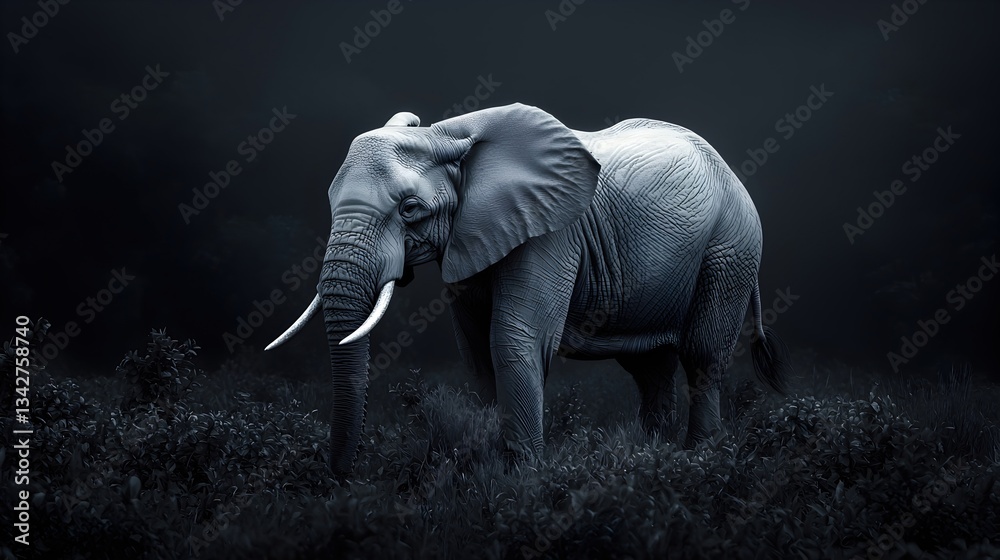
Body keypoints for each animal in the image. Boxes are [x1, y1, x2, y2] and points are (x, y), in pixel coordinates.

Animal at [266, 103, 792, 476]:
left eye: (410, 209)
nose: (340, 478)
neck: (447, 135)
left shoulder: (552, 232)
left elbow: (513, 339)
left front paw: (522, 479)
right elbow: (476, 349)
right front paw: (480, 461)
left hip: (731, 247)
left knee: (702, 354)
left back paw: (700, 459)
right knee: (650, 367)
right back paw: (652, 456)